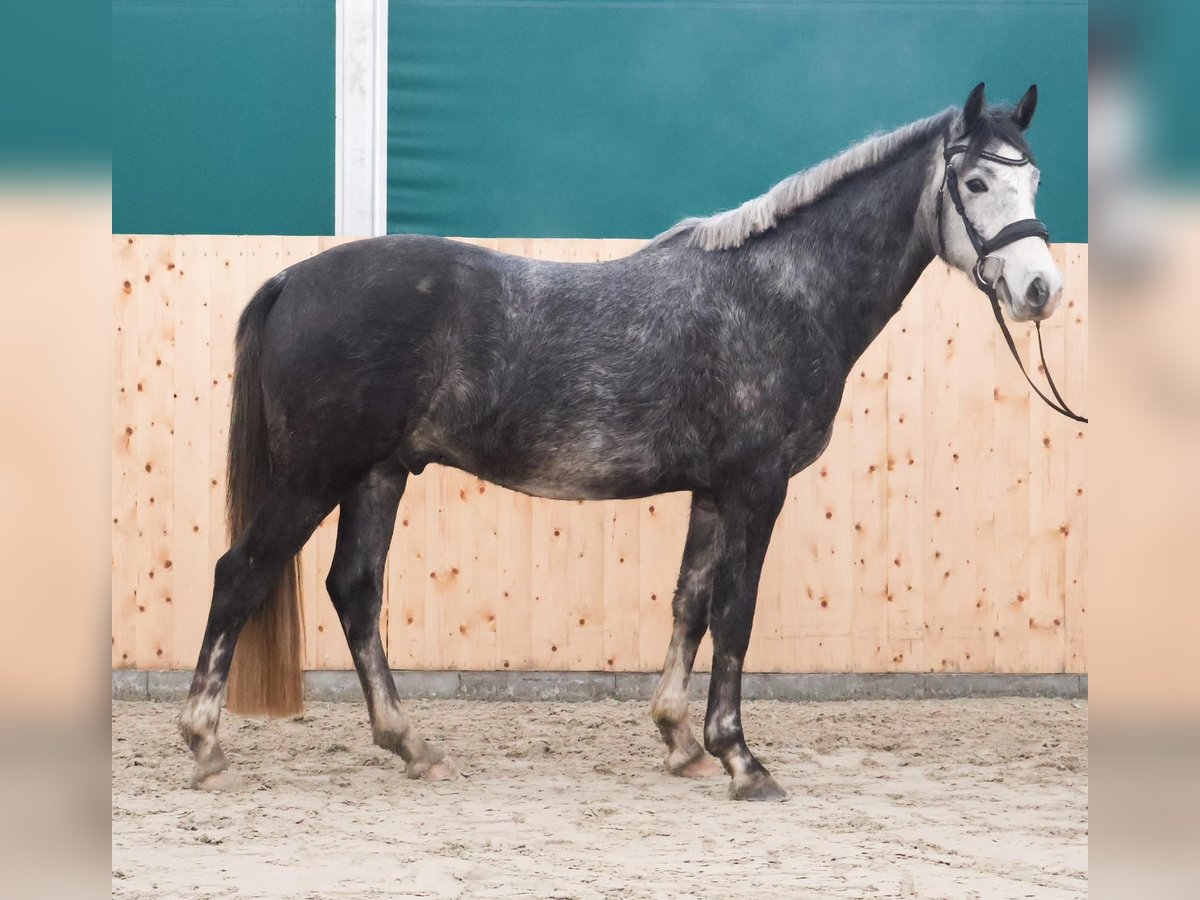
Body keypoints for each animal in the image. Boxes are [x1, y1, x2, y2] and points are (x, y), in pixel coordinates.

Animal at [177, 84, 1060, 801]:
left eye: (1035, 179)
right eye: (975, 181)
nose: (1040, 289)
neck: (778, 293)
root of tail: (294, 278)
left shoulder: (713, 491)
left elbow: (691, 603)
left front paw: (681, 742)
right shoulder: (757, 486)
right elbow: (736, 613)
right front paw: (743, 761)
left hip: (377, 475)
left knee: (355, 592)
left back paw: (413, 745)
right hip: (313, 476)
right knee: (238, 575)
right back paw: (205, 746)